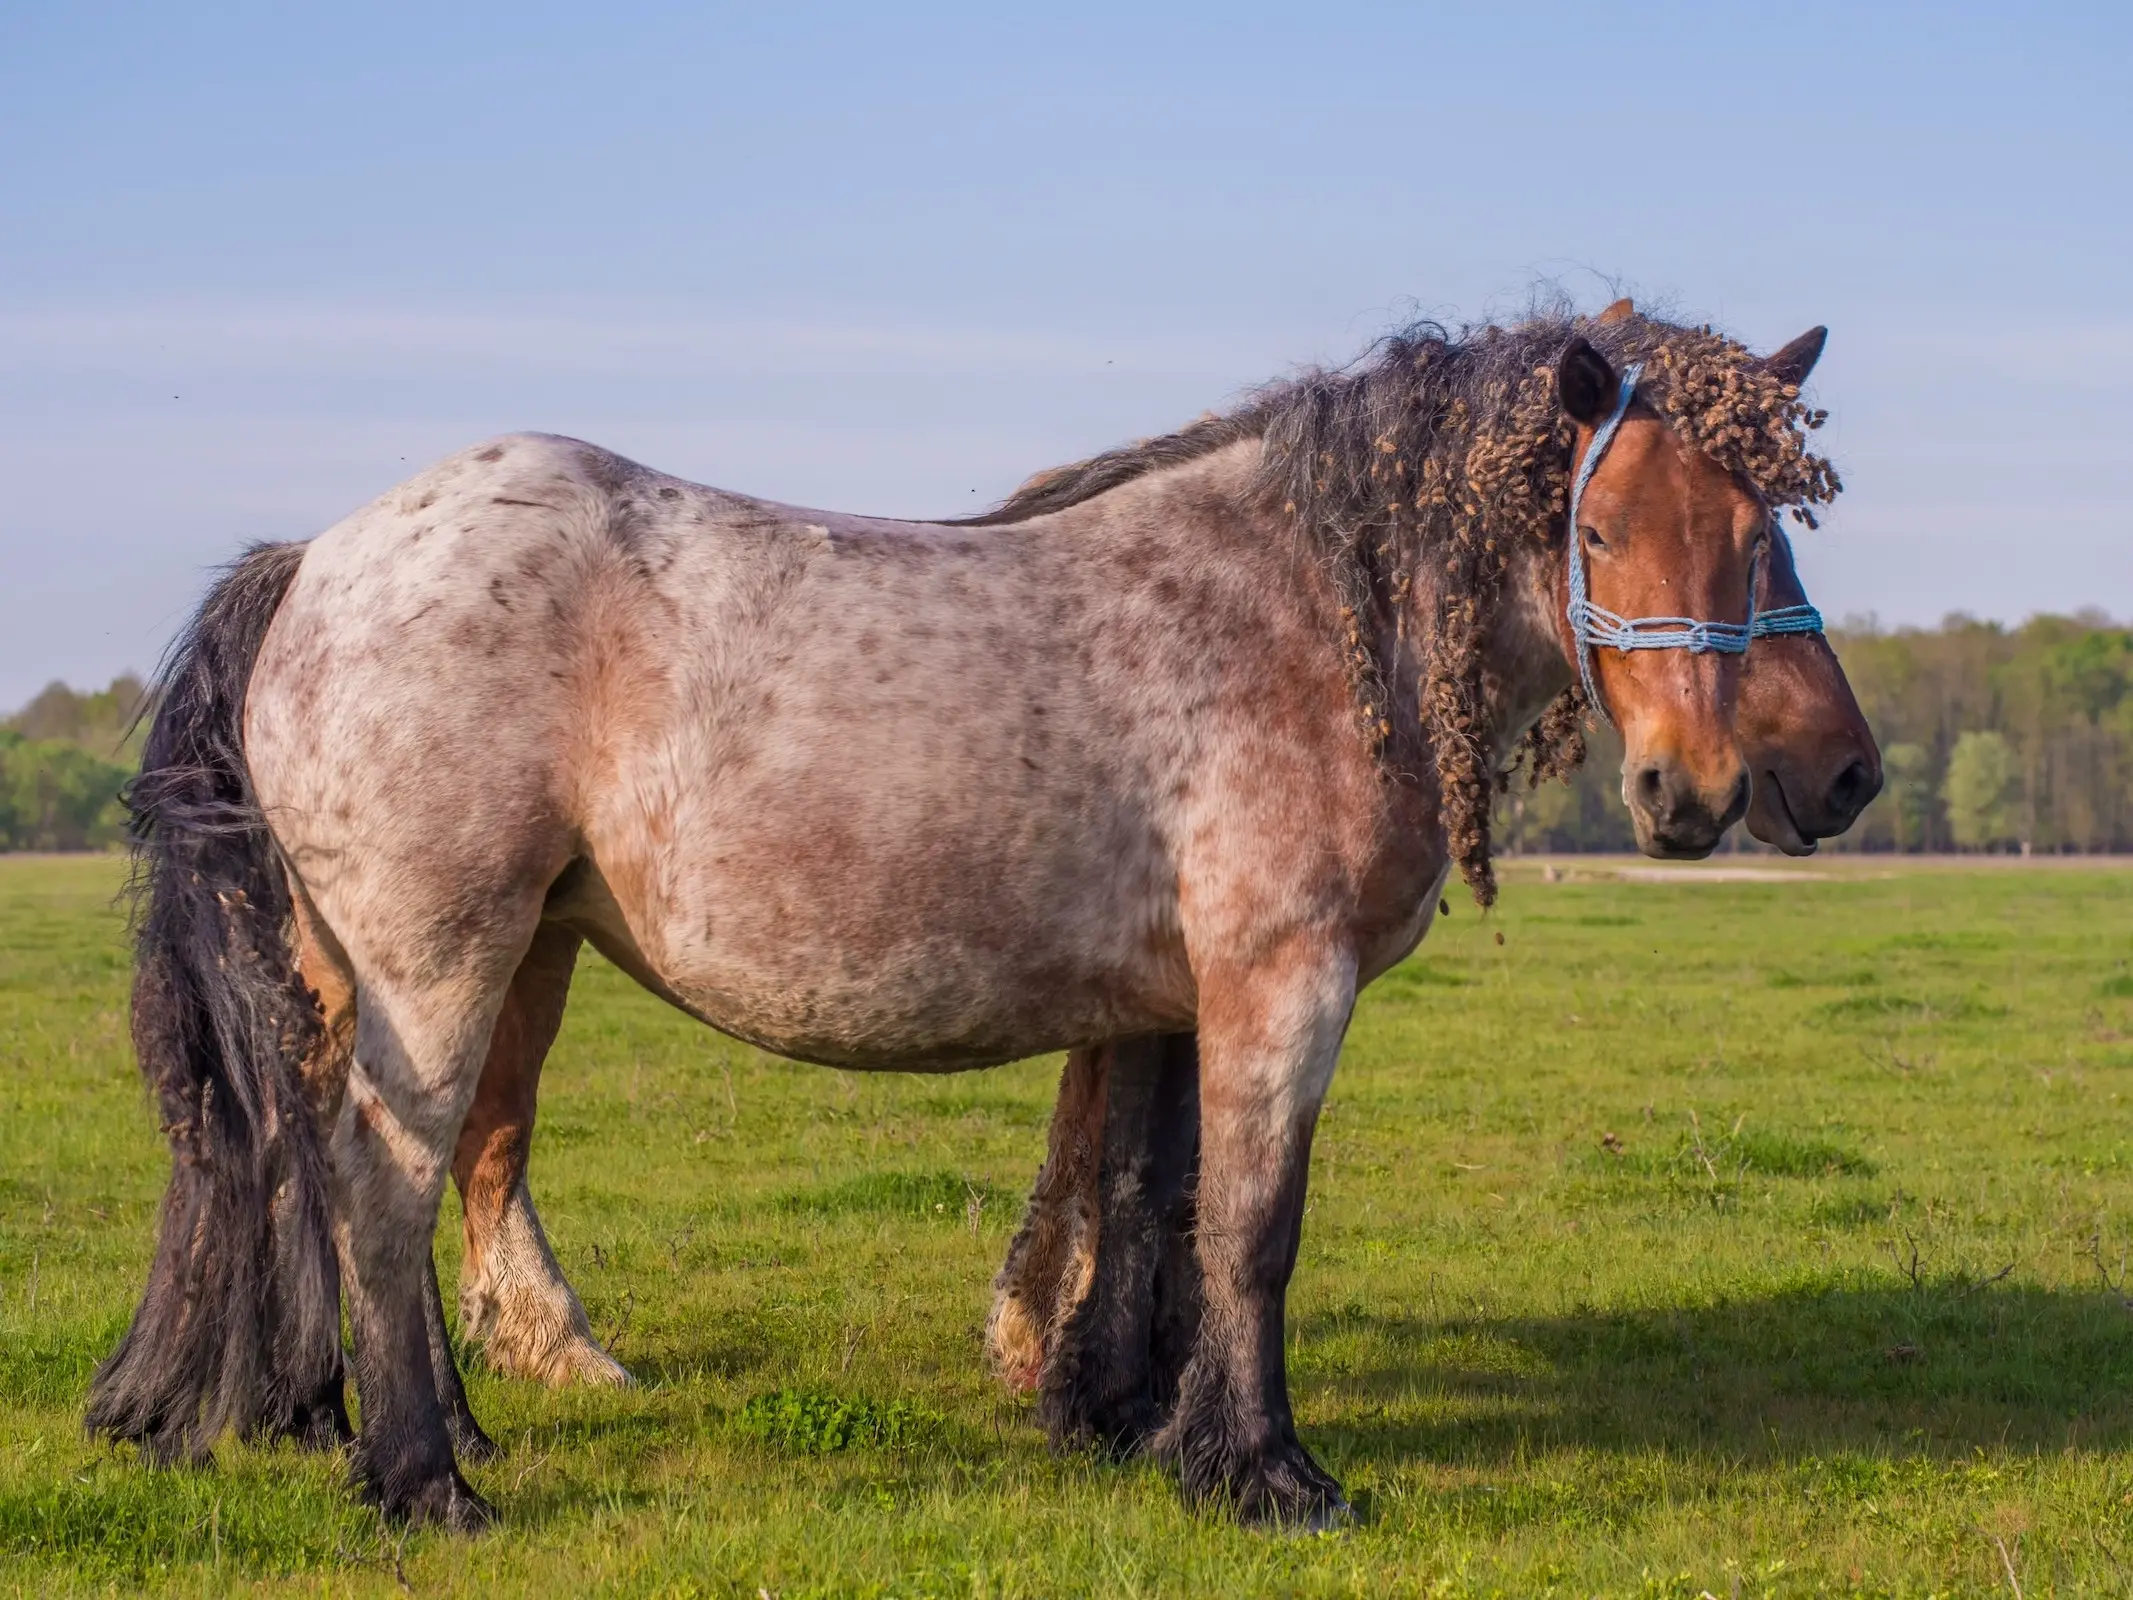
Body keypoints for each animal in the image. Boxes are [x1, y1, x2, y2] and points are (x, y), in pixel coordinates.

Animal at [91, 302, 1842, 1544]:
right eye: (1600, 531)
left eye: (1770, 524)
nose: (1794, 778)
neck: (1305, 620)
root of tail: (315, 561)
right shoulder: (1281, 985)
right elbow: (1253, 1229)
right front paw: (1270, 1474)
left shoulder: (1169, 1005)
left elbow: (1147, 1202)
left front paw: (1133, 1426)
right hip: (440, 964)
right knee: (381, 1188)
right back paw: (424, 1484)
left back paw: (437, 1433)